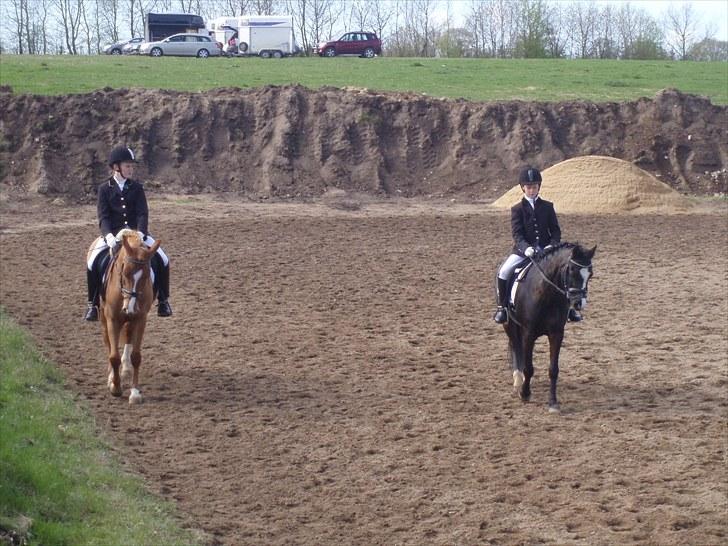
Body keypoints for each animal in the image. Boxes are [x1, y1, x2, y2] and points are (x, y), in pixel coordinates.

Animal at [99, 227, 159, 402]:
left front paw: (135, 392)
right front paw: (115, 387)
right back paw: (112, 377)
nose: (130, 308)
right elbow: (113, 356)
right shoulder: (112, 319)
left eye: (146, 275)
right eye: (124, 272)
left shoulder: (140, 319)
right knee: (108, 343)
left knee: (127, 336)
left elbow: (136, 356)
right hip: (103, 318)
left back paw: (125, 370)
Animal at [504, 242, 596, 412]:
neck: (546, 294)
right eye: (571, 270)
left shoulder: (557, 334)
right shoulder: (528, 333)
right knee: (516, 348)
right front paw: (525, 393)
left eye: (590, 274)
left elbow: (553, 369)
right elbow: (529, 367)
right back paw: (518, 380)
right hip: (510, 325)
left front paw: (553, 402)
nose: (578, 303)